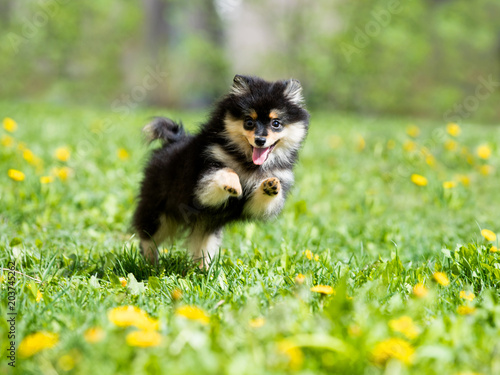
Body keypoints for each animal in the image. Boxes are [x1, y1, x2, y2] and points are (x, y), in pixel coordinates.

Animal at [135, 74, 310, 268]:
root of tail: (173, 140)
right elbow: (226, 171)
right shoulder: (202, 184)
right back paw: (150, 262)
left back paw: (202, 269)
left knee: (201, 244)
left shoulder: (253, 204)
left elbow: (264, 198)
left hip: (206, 226)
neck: (247, 163)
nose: (260, 140)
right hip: (160, 209)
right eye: (249, 122)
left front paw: (271, 185)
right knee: (148, 235)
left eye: (276, 123)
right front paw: (233, 185)